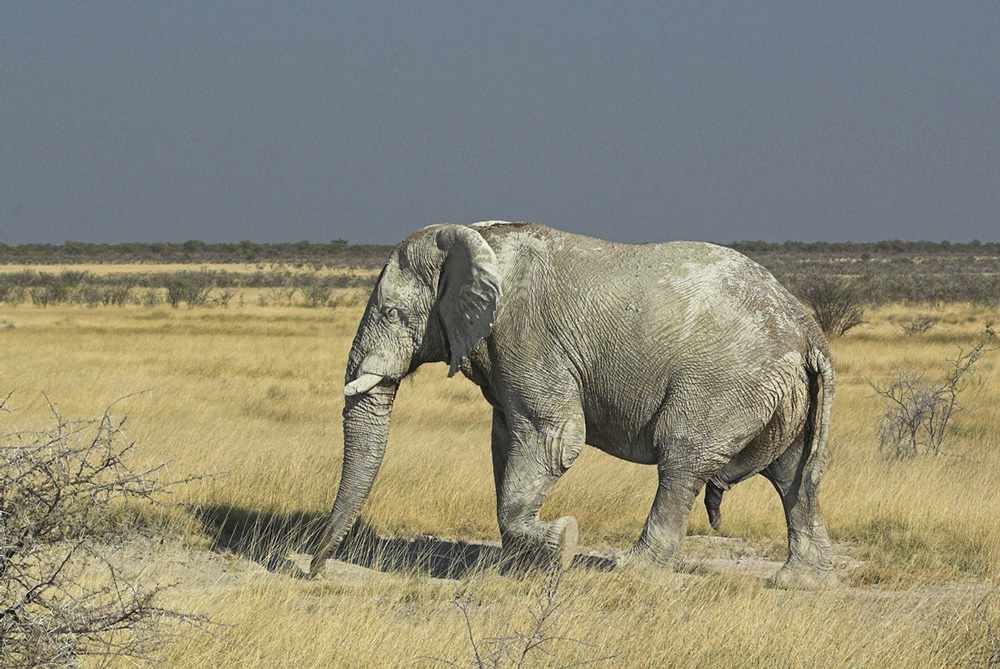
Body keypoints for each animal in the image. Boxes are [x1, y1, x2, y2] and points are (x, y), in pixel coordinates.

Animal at [310, 219, 836, 584]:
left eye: (391, 312)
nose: (313, 569)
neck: (475, 237)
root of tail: (809, 333)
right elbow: (505, 444)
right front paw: (517, 567)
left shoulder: (525, 336)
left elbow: (556, 439)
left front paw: (563, 540)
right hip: (780, 394)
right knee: (795, 479)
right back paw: (799, 584)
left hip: (724, 382)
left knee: (682, 462)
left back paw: (634, 572)